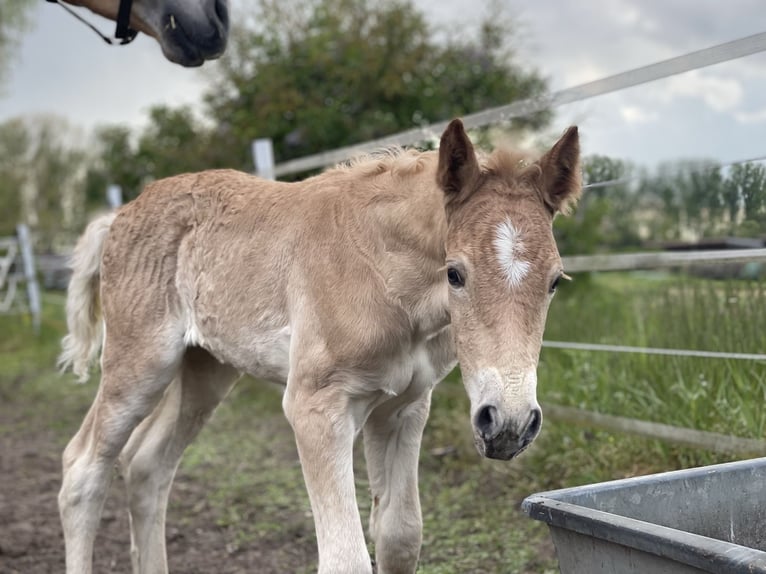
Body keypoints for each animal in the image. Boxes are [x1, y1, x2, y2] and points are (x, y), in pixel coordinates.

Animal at [58, 119, 584, 572]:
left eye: (555, 281)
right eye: (454, 273)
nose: (509, 424)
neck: (382, 273)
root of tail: (118, 216)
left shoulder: (404, 407)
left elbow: (399, 536)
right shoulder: (316, 406)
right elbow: (345, 558)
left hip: (205, 370)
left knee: (147, 468)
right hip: (140, 363)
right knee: (83, 469)